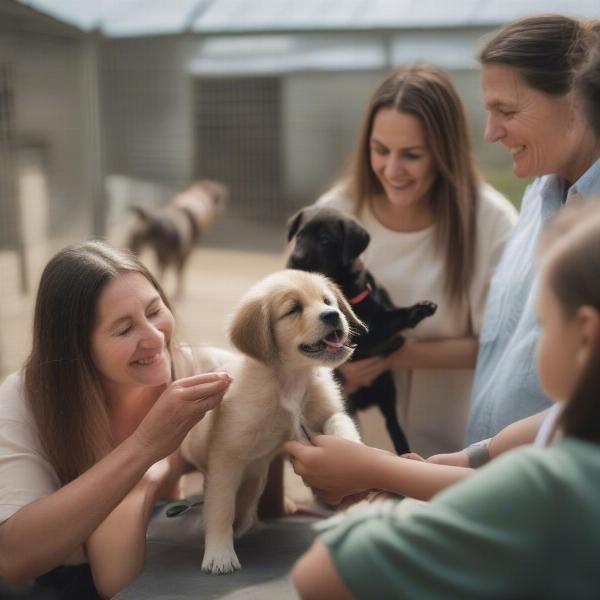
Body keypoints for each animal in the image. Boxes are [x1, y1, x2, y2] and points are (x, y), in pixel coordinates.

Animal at [180, 270, 364, 576]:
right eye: (294, 309)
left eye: (327, 301)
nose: (333, 315)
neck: (291, 380)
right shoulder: (226, 455)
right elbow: (220, 508)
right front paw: (219, 554)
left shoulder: (323, 414)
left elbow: (340, 420)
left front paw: (350, 447)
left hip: (256, 477)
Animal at [286, 207, 436, 454]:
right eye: (299, 235)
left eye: (325, 240)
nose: (295, 259)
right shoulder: (361, 335)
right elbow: (387, 323)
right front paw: (415, 312)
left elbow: (390, 322)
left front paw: (416, 312)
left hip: (386, 389)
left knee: (392, 423)